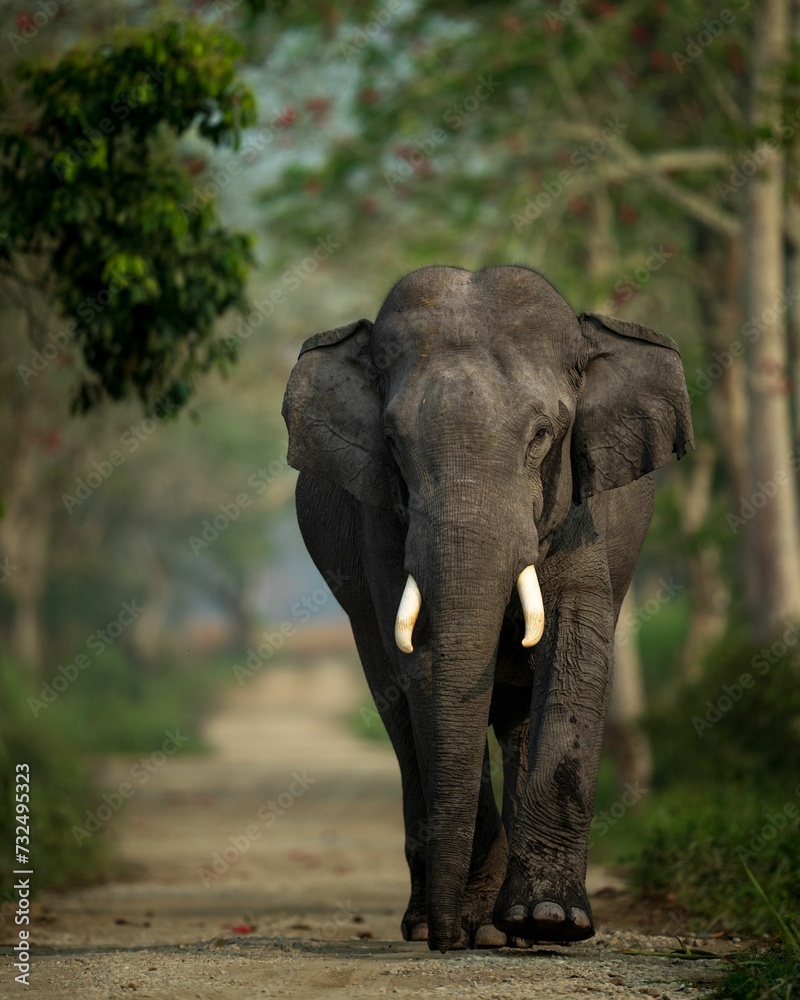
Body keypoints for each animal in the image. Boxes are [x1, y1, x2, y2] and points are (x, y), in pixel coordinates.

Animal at [282, 265, 693, 953]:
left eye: (543, 436)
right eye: (392, 443)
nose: (449, 939)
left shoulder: (579, 512)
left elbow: (575, 650)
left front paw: (550, 922)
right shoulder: (381, 525)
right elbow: (422, 673)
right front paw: (469, 925)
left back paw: (518, 929)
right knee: (396, 710)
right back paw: (435, 919)